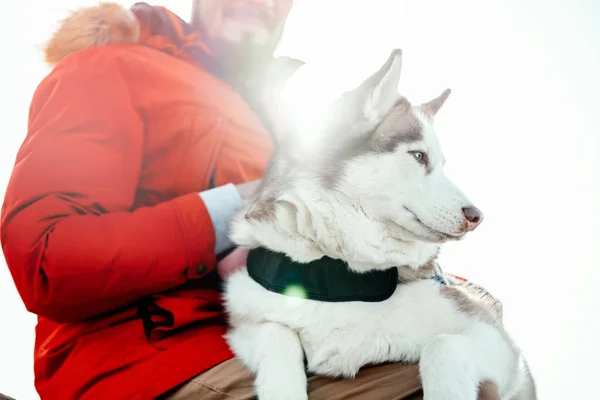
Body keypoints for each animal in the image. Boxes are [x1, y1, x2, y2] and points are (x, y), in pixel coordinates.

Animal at [223, 48, 536, 398]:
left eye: (443, 164)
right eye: (418, 156)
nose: (476, 216)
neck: (339, 272)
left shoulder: (498, 342)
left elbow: (442, 346)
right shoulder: (247, 324)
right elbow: (276, 336)